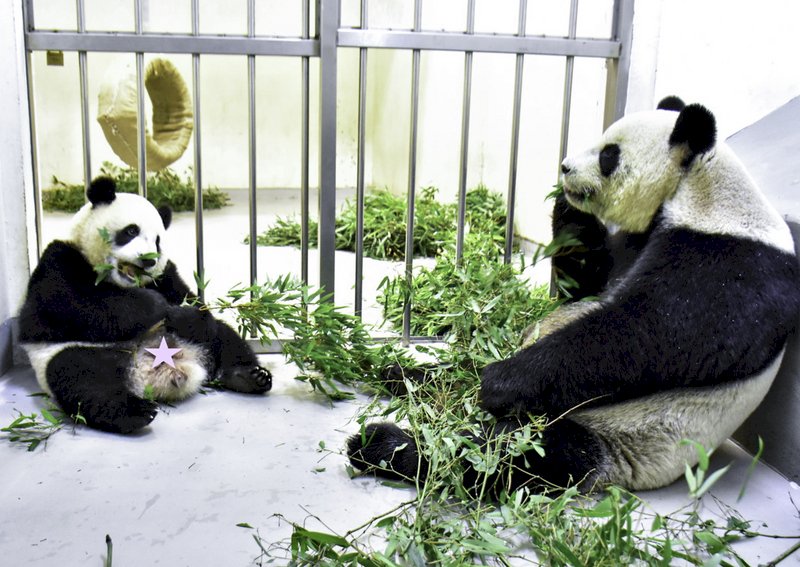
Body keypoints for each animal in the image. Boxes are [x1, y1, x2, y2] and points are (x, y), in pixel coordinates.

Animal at [18, 177, 272, 434]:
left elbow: (194, 303)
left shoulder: (165, 274)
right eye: (131, 231)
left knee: (223, 337)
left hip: (193, 341)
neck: (120, 282)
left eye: (158, 241)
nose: (148, 260)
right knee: (82, 377)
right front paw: (155, 305)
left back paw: (249, 376)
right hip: (77, 354)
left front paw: (178, 313)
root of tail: (150, 374)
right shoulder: (59, 260)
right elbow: (68, 306)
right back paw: (135, 412)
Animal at [347, 97, 800, 492]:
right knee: (457, 375)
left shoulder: (730, 265)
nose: (565, 167)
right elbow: (588, 283)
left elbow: (649, 334)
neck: (699, 191)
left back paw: (385, 446)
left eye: (608, 155)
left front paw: (502, 383)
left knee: (511, 456)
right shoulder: (640, 239)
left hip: (612, 430)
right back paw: (399, 374)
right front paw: (568, 208)